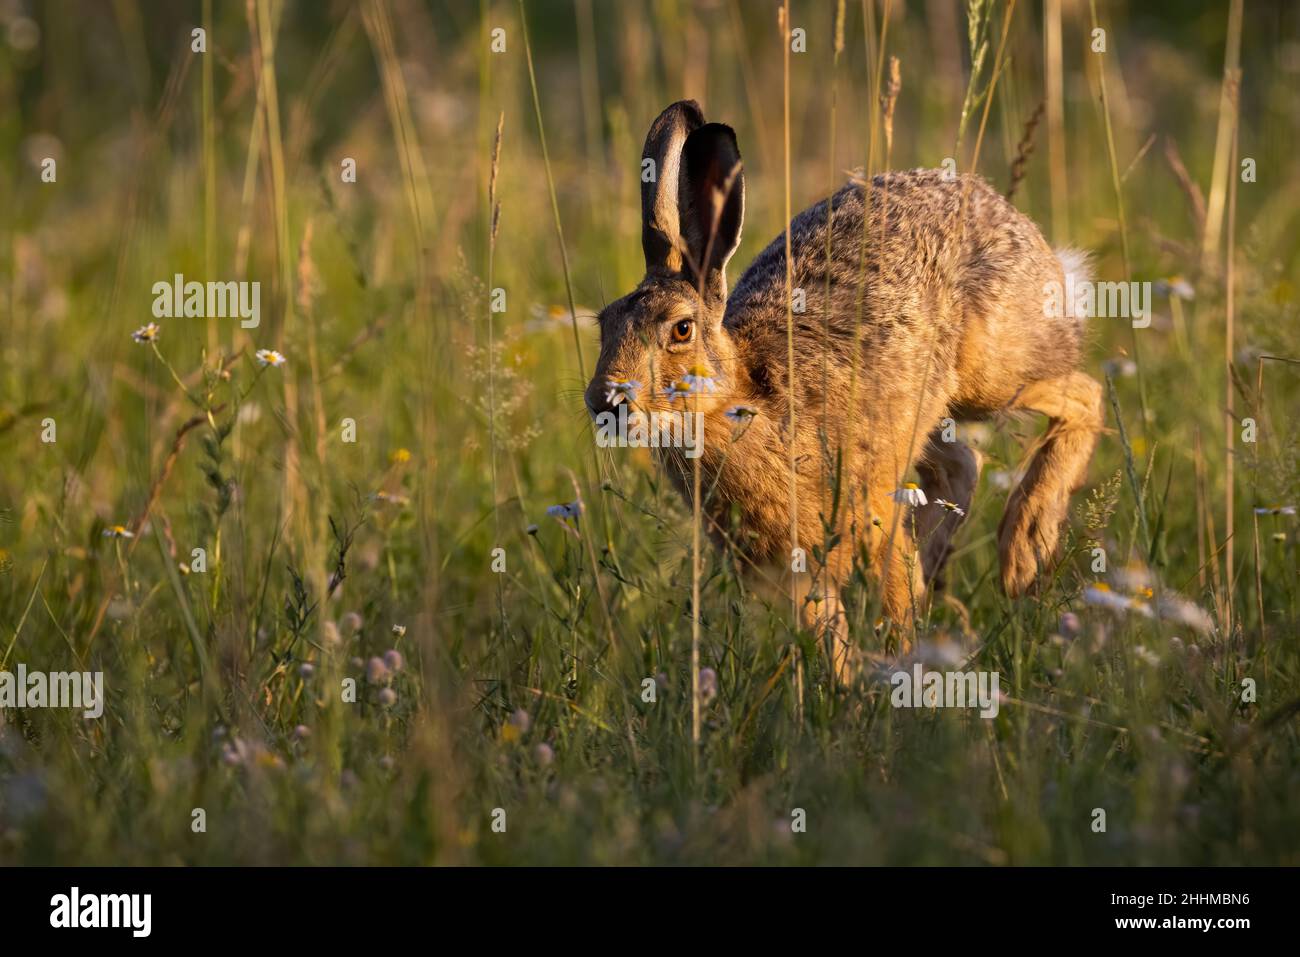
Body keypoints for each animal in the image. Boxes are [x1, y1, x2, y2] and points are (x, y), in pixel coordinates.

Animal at [584, 100, 1103, 680]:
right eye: (605, 325)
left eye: (681, 329)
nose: (605, 402)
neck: (744, 400)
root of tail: (1006, 212)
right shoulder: (797, 575)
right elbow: (830, 641)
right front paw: (848, 689)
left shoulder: (873, 520)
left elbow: (895, 601)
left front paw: (903, 678)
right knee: (963, 464)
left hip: (992, 375)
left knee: (1084, 393)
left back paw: (1023, 550)